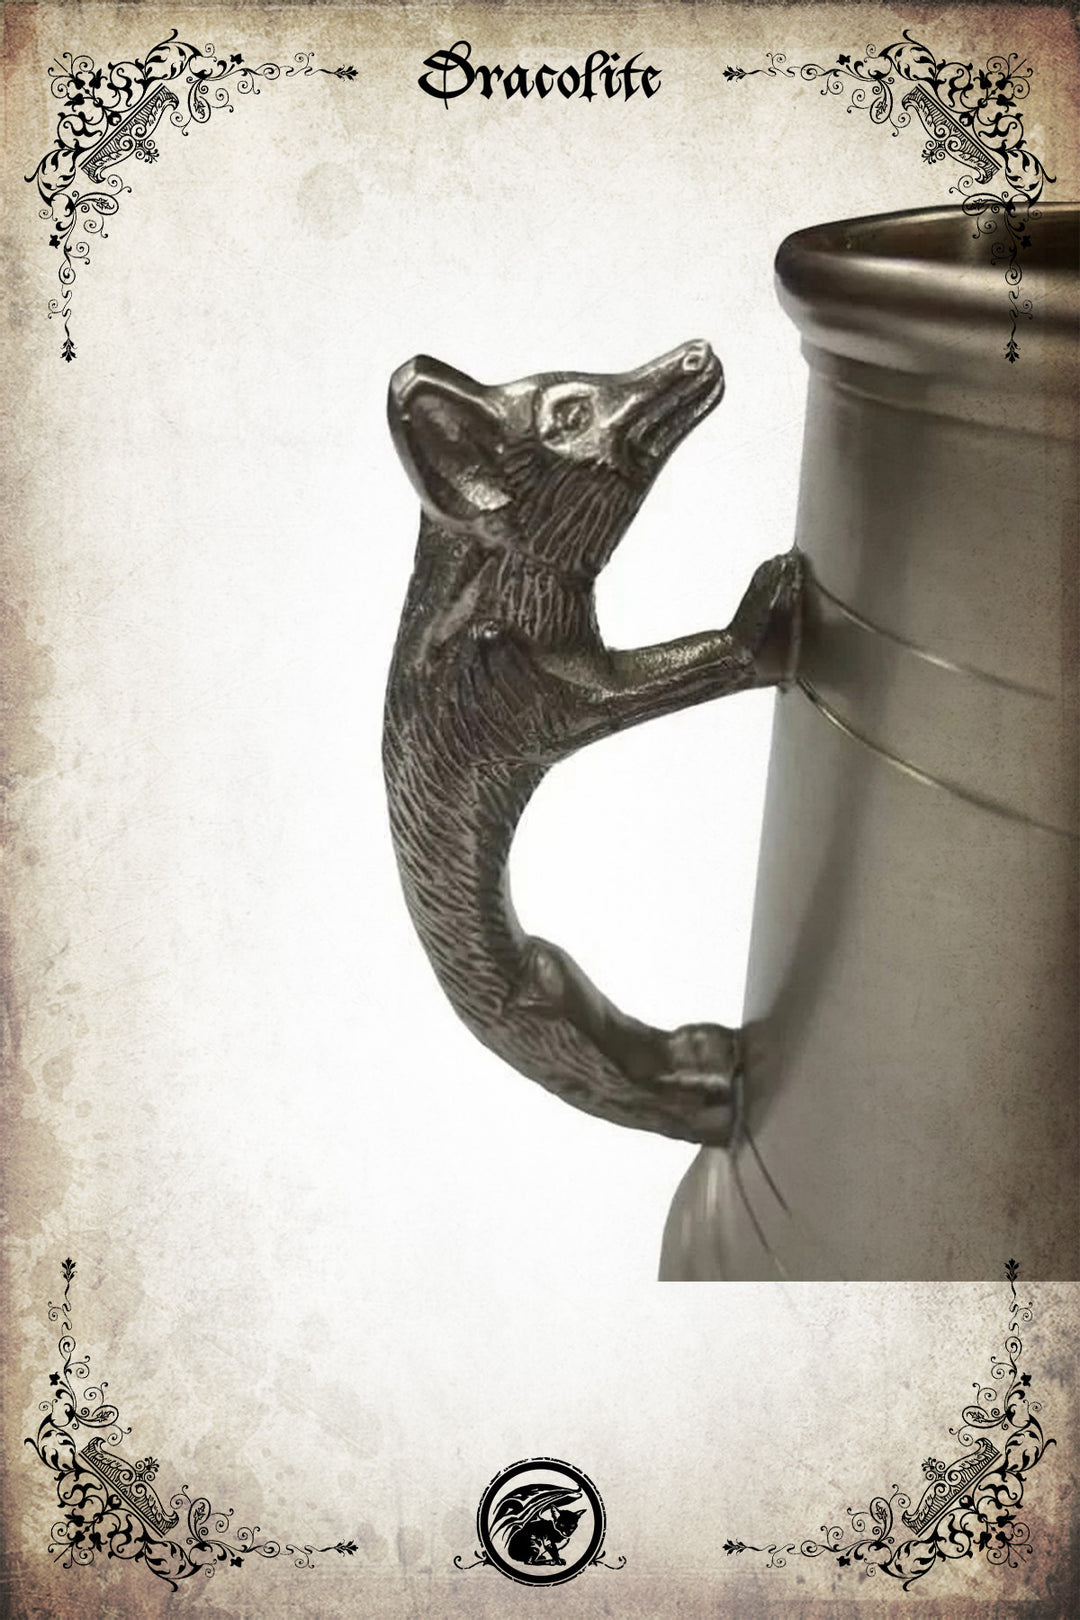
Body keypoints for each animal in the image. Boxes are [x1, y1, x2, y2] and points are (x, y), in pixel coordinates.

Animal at [382, 341, 802, 1145]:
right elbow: (674, 674)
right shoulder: (538, 700)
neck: (499, 580)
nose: (696, 354)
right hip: (552, 1006)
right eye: (571, 413)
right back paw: (708, 1087)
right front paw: (767, 612)